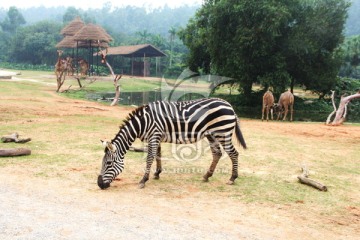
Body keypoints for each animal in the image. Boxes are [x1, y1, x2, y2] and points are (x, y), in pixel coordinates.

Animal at [97, 97, 246, 189]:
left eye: (108, 163)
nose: (99, 184)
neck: (143, 123)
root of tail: (229, 105)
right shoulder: (156, 136)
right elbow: (158, 154)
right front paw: (157, 173)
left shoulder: (154, 135)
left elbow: (150, 158)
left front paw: (143, 180)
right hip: (212, 134)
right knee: (217, 153)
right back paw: (206, 176)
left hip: (223, 132)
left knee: (233, 153)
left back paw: (232, 178)